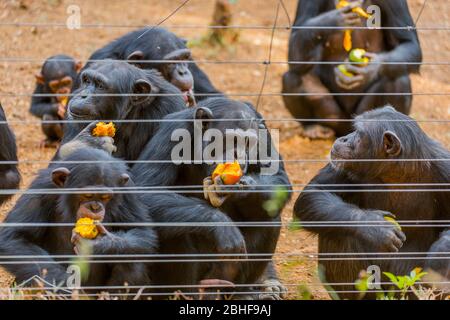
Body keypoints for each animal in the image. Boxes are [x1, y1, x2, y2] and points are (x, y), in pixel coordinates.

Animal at [0, 146, 158, 292]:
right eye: (87, 195)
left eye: (105, 197)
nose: (95, 207)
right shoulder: (41, 189)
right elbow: (16, 237)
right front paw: (65, 285)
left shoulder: (128, 191)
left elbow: (141, 230)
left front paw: (98, 245)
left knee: (131, 263)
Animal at [132, 98, 292, 300]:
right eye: (233, 139)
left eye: (249, 142)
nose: (240, 156)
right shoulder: (171, 132)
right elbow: (146, 189)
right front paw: (221, 225)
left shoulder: (264, 134)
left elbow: (279, 179)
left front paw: (241, 187)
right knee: (173, 231)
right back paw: (184, 295)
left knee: (268, 217)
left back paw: (241, 293)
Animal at [282, 0, 422, 139]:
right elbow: (295, 44)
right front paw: (331, 19)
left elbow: (407, 42)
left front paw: (371, 68)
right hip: (334, 119)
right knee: (295, 77)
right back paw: (313, 127)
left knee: (397, 81)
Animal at [296, 106, 450, 298]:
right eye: (354, 129)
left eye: (359, 133)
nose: (344, 138)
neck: (395, 173)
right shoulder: (344, 166)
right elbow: (314, 192)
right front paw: (374, 225)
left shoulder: (446, 170)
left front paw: (440, 256)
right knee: (339, 233)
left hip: (404, 282)